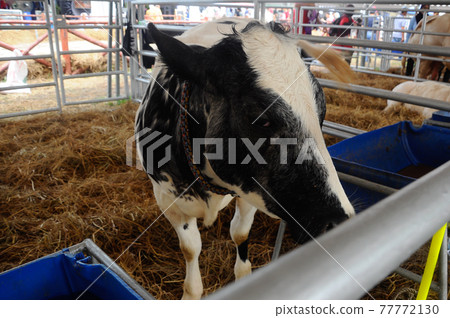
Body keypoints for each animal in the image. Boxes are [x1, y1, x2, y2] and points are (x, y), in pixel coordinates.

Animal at [134, 18, 356, 300]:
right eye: (262, 119)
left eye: (322, 111)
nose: (339, 223)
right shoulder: (165, 198)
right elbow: (190, 248)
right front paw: (190, 292)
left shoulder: (251, 192)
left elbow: (239, 234)